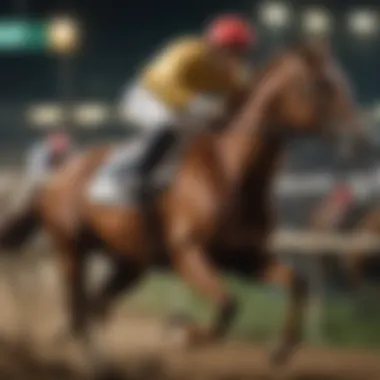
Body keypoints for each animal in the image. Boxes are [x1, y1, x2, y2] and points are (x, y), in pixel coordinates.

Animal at [37, 40, 362, 364]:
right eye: (322, 84)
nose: (357, 137)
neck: (229, 171)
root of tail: (61, 172)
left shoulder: (245, 257)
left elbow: (297, 283)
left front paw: (282, 347)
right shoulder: (187, 252)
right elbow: (228, 304)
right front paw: (182, 332)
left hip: (129, 261)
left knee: (94, 307)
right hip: (71, 248)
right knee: (79, 307)